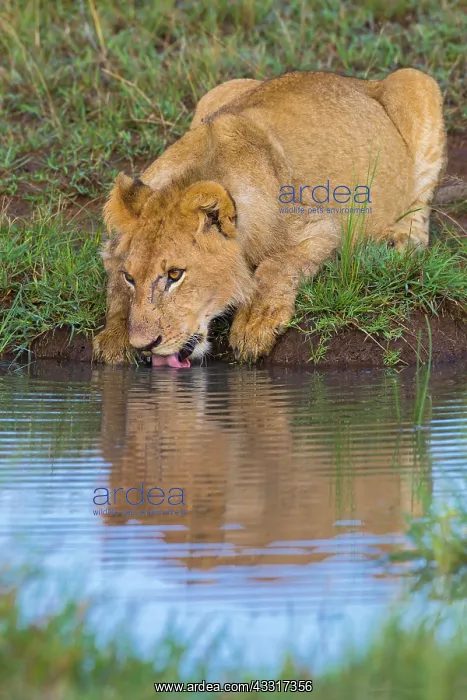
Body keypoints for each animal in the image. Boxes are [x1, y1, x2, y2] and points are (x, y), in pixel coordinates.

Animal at [93, 69, 446, 367]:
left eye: (175, 274)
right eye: (130, 277)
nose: (144, 345)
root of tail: (359, 81)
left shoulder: (323, 226)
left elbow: (275, 266)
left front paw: (255, 323)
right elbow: (115, 293)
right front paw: (114, 338)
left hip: (418, 82)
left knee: (420, 214)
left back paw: (396, 243)